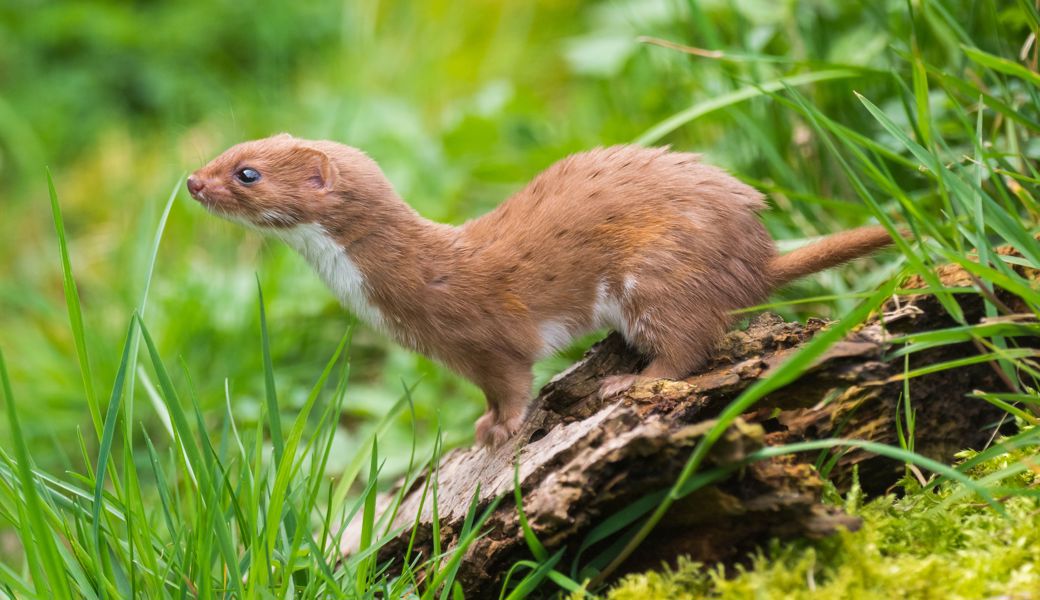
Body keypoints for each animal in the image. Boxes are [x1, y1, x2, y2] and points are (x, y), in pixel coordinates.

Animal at [185, 133, 894, 447]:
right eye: (230, 147)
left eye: (246, 173)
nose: (191, 181)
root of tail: (757, 256)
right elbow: (485, 391)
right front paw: (481, 423)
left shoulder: (487, 336)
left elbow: (512, 381)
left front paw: (500, 429)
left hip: (660, 269)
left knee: (688, 342)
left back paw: (628, 379)